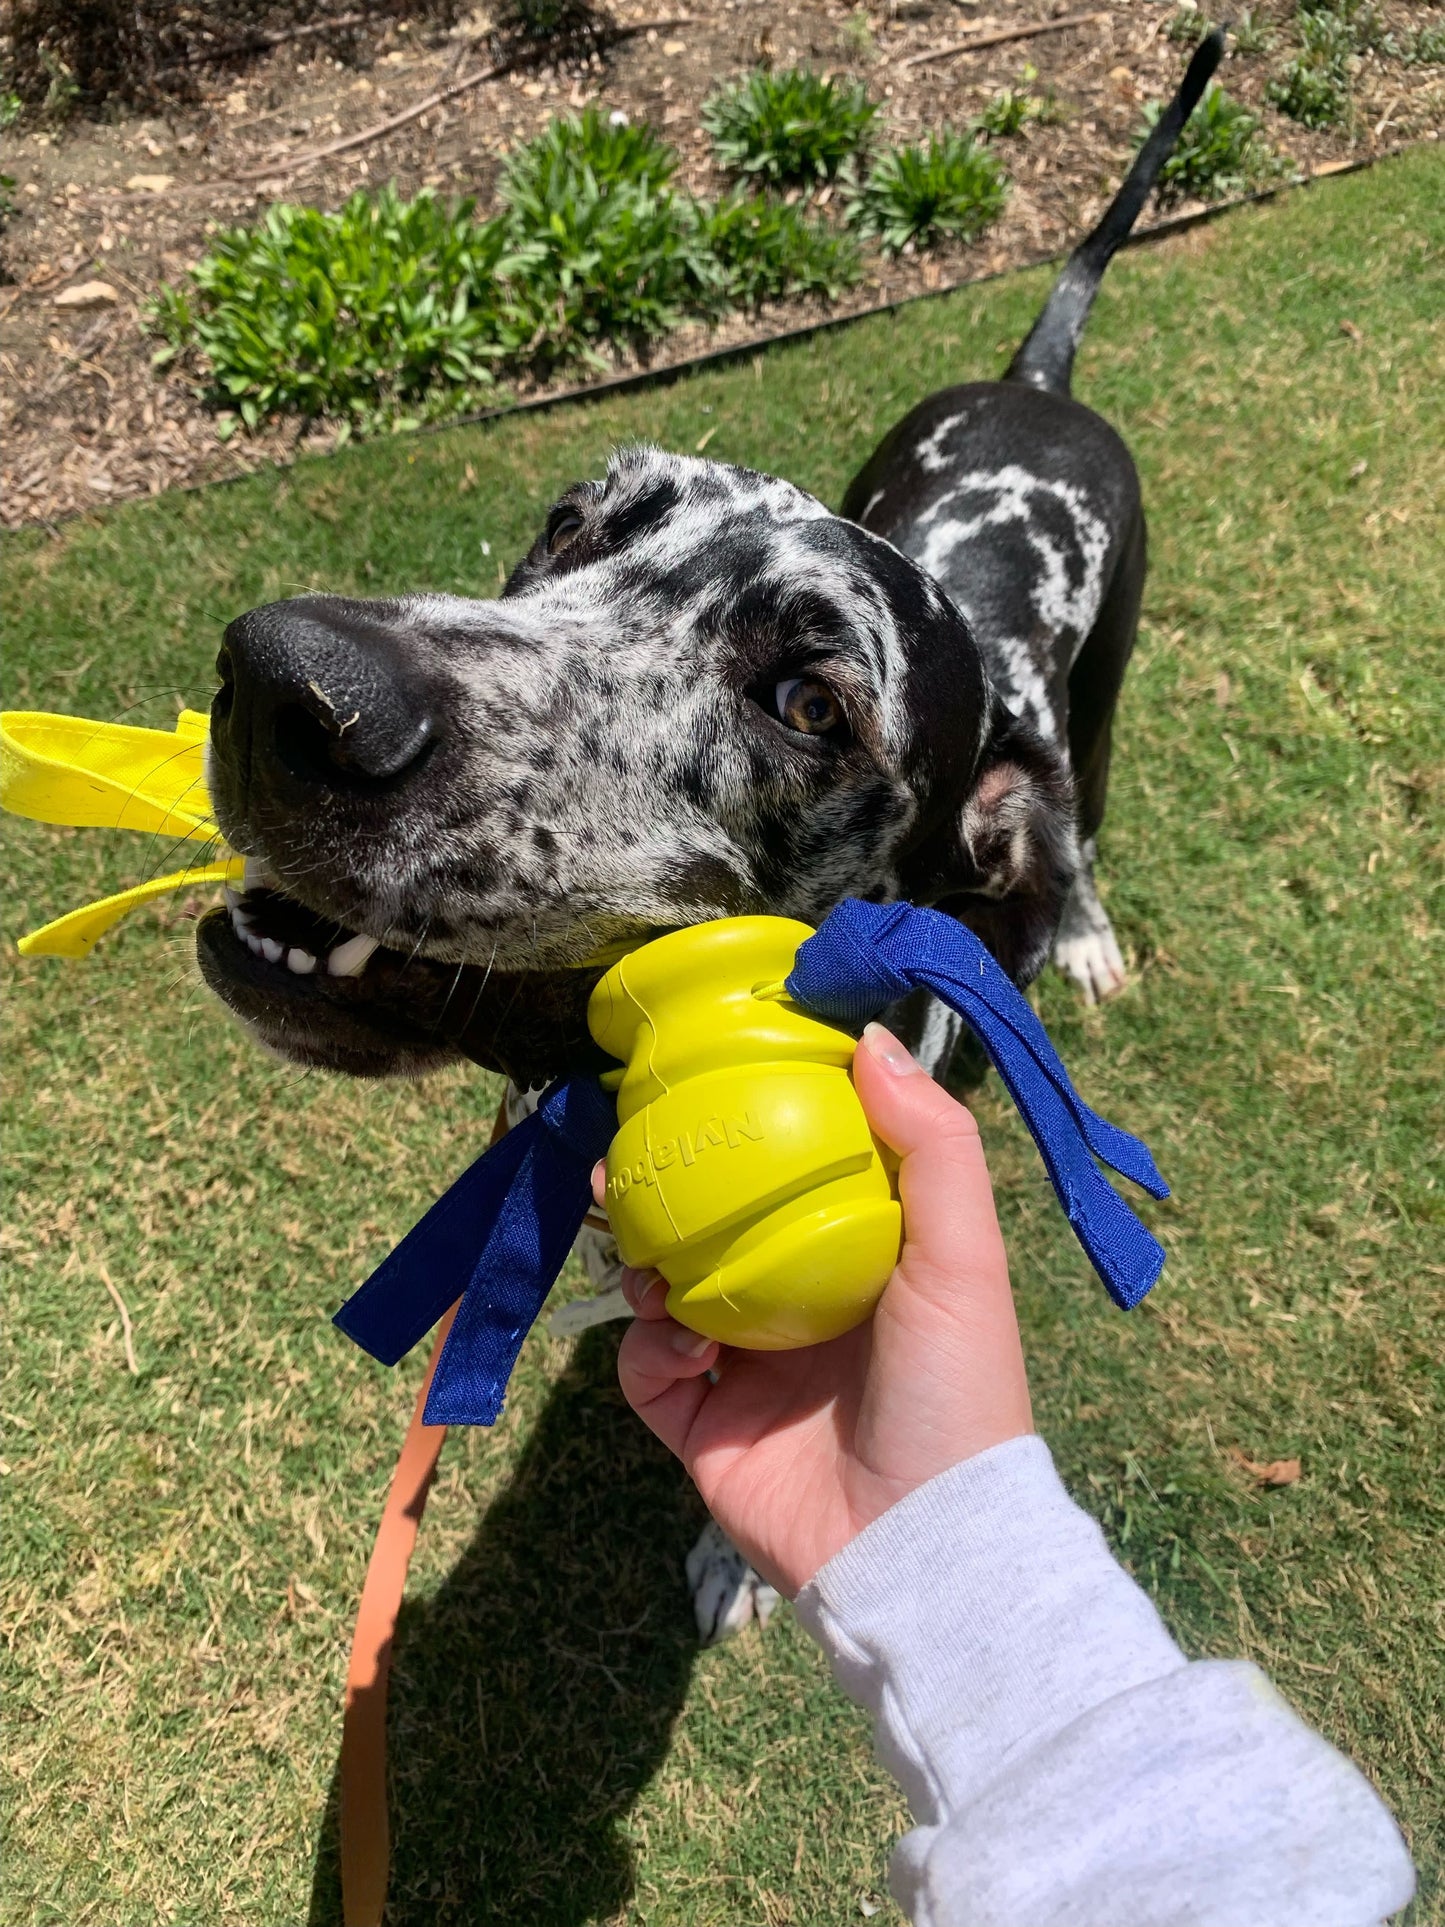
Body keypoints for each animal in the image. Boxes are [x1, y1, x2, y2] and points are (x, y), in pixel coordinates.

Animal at [198, 30, 1225, 1626]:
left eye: (812, 703)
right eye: (570, 525)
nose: (288, 685)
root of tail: (1035, 378)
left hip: (1093, 711)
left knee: (1076, 824)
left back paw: (1077, 926)